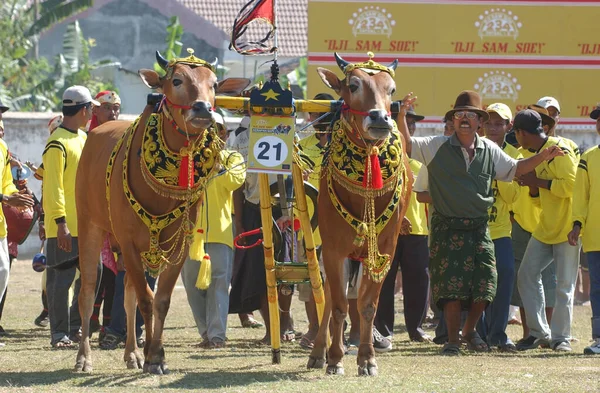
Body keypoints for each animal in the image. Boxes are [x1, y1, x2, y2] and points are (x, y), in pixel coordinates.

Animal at [74, 50, 251, 372]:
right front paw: (150, 356)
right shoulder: (128, 241)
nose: (203, 108)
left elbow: (161, 299)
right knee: (88, 291)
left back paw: (132, 353)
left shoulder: (177, 245)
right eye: (177, 80)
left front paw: (155, 354)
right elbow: (146, 298)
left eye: (214, 84)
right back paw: (84, 358)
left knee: (127, 293)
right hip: (89, 225)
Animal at [304, 52, 412, 374]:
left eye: (391, 88)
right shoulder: (333, 249)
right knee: (329, 297)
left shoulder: (384, 250)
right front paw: (335, 359)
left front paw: (367, 359)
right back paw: (319, 353)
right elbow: (338, 306)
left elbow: (367, 305)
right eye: (353, 85)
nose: (380, 118)